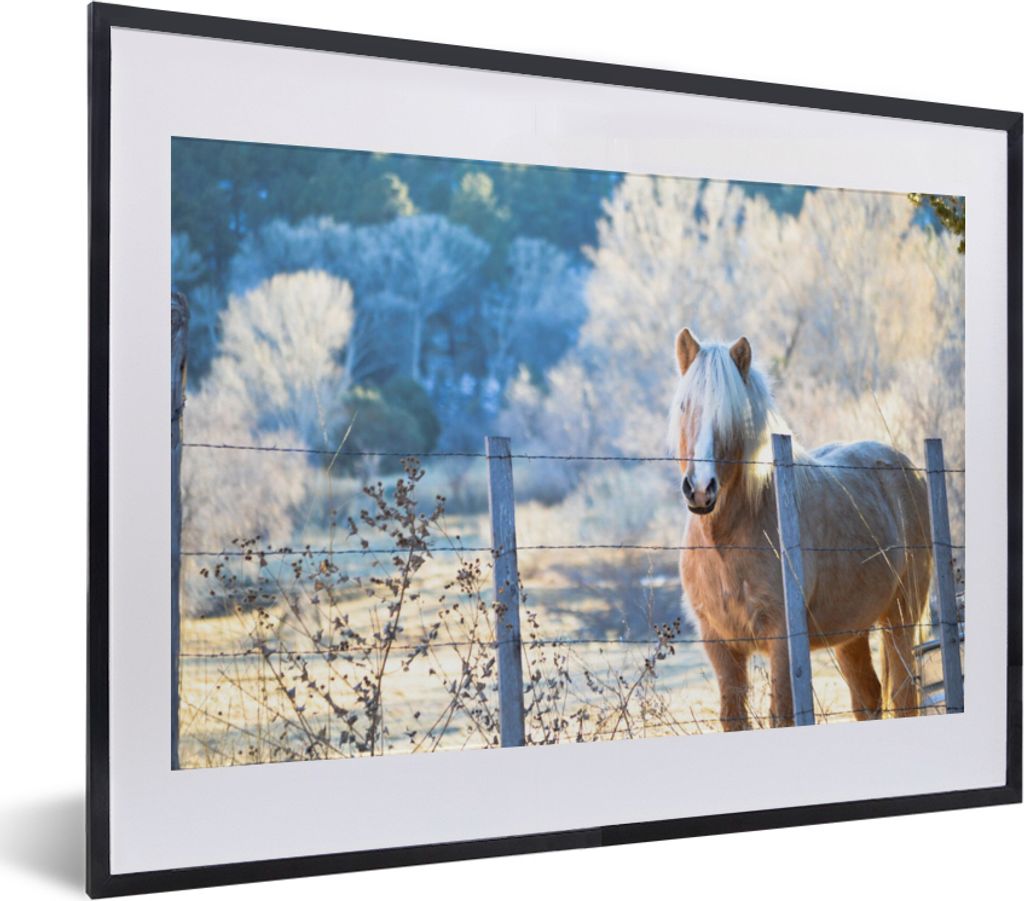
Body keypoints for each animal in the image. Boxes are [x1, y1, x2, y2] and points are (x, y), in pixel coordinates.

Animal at [669, 328, 932, 730]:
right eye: (685, 406)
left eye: (733, 414)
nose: (700, 489)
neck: (725, 544)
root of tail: (909, 469)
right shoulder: (720, 645)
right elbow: (734, 718)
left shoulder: (782, 640)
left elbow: (783, 715)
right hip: (851, 631)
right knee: (867, 698)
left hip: (901, 618)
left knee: (903, 697)